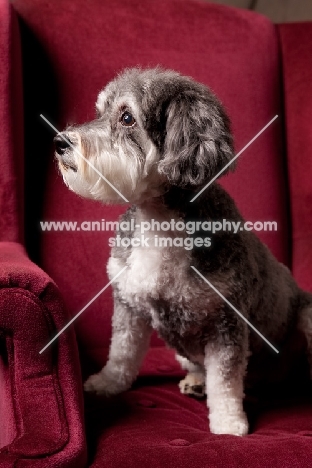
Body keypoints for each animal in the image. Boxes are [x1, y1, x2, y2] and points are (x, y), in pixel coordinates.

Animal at [53, 67, 312, 436]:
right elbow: (122, 352)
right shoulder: (128, 305)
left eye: (127, 117)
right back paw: (196, 382)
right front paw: (106, 383)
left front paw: (228, 421)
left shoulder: (226, 324)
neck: (158, 222)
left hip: (306, 316)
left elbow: (226, 380)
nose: (60, 142)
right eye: (100, 111)